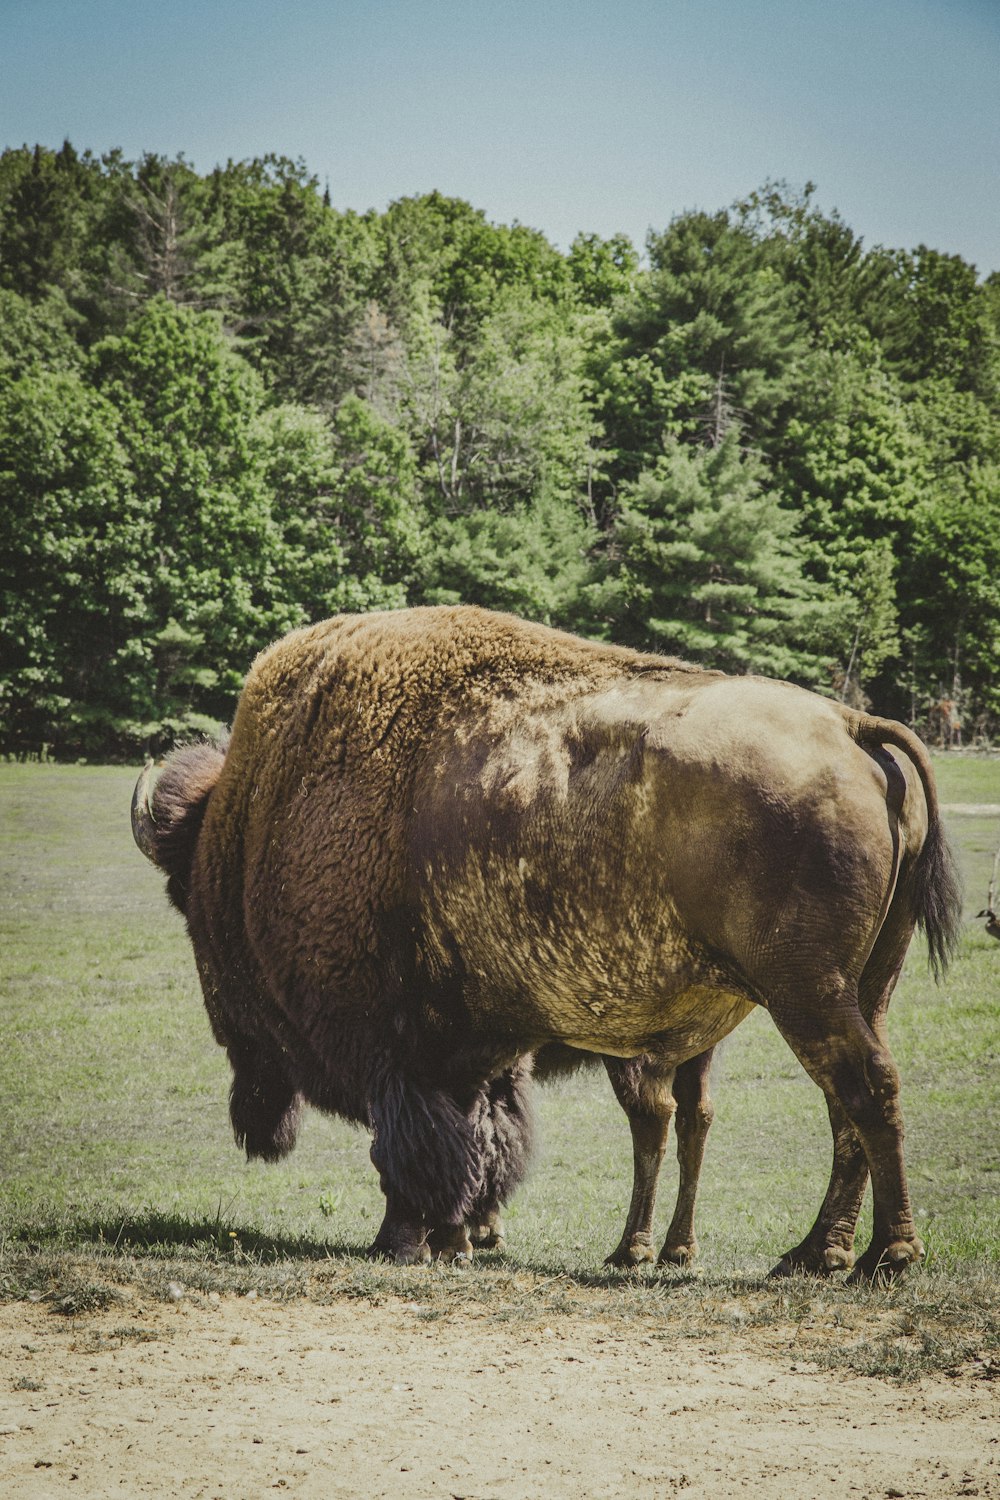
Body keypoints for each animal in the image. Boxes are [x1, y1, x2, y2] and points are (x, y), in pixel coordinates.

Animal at [131, 606, 959, 1278]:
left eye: (186, 900)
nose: (232, 1047)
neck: (258, 815)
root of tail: (851, 727)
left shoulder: (396, 1051)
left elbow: (415, 1151)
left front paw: (404, 1242)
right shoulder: (474, 1051)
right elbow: (481, 1142)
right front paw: (455, 1242)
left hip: (806, 992)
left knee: (863, 1089)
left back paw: (882, 1256)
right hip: (863, 987)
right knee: (832, 1105)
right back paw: (805, 1253)